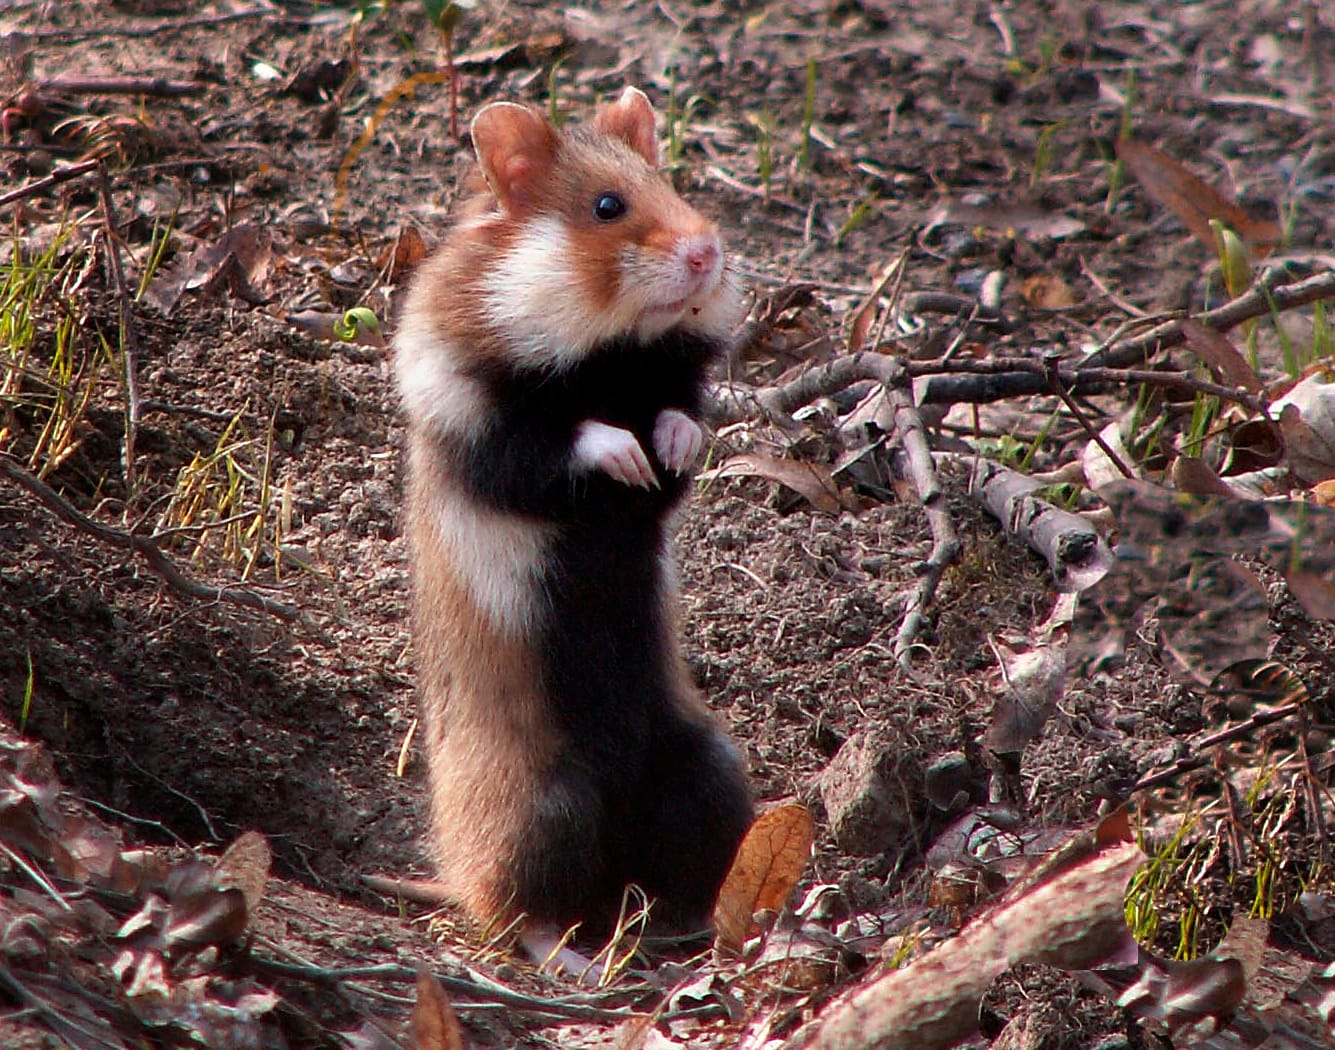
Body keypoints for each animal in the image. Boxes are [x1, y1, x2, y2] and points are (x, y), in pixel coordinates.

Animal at [393, 86, 755, 965]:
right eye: (606, 207)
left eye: (670, 183)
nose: (708, 253)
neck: (606, 350)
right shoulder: (479, 430)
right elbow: (563, 440)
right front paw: (623, 452)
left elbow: (679, 425)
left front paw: (668, 443)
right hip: (541, 808)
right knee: (516, 913)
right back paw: (577, 961)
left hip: (706, 768)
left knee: (680, 871)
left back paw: (697, 930)